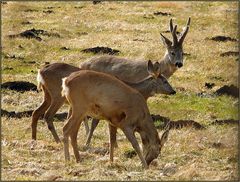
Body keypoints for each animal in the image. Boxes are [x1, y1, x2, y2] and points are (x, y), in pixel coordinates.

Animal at [31, 60, 174, 143]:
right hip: (57, 96)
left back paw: (34, 139)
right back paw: (57, 140)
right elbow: (95, 124)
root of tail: (40, 72)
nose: (173, 91)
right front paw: (88, 142)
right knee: (47, 115)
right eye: (165, 81)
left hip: (47, 95)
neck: (132, 87)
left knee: (36, 112)